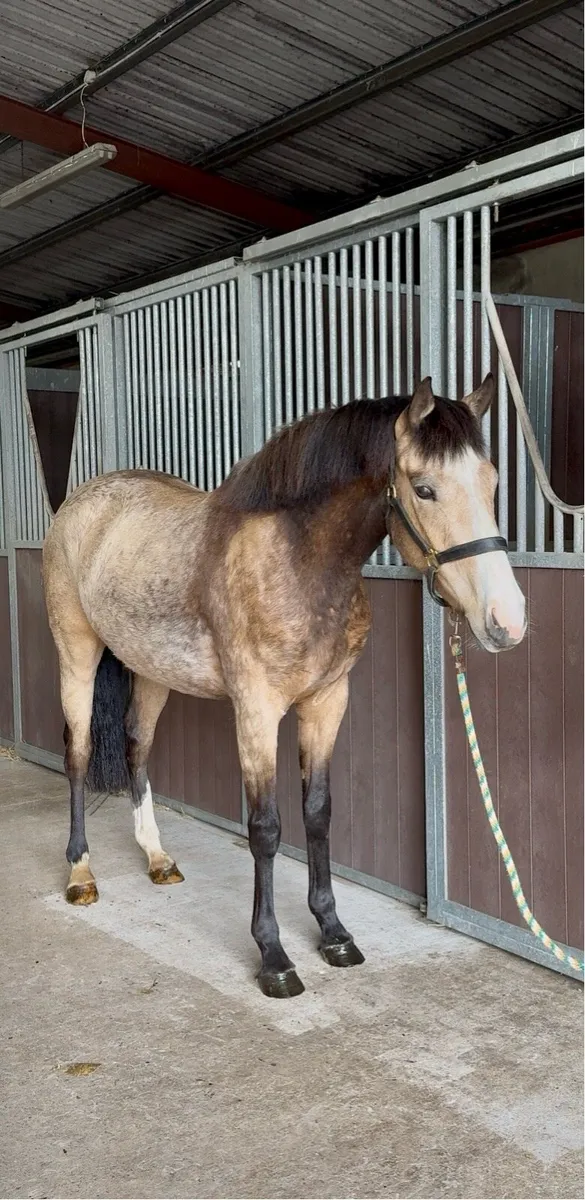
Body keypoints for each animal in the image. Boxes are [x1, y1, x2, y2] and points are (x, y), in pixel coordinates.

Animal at [42, 373, 527, 999]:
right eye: (425, 489)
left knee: (136, 745)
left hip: (151, 671)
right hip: (75, 653)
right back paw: (80, 872)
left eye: (492, 483)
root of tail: (83, 501)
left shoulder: (326, 702)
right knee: (77, 754)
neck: (297, 560)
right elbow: (266, 829)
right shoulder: (256, 710)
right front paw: (273, 955)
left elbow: (317, 812)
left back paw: (157, 858)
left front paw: (333, 932)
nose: (507, 620)